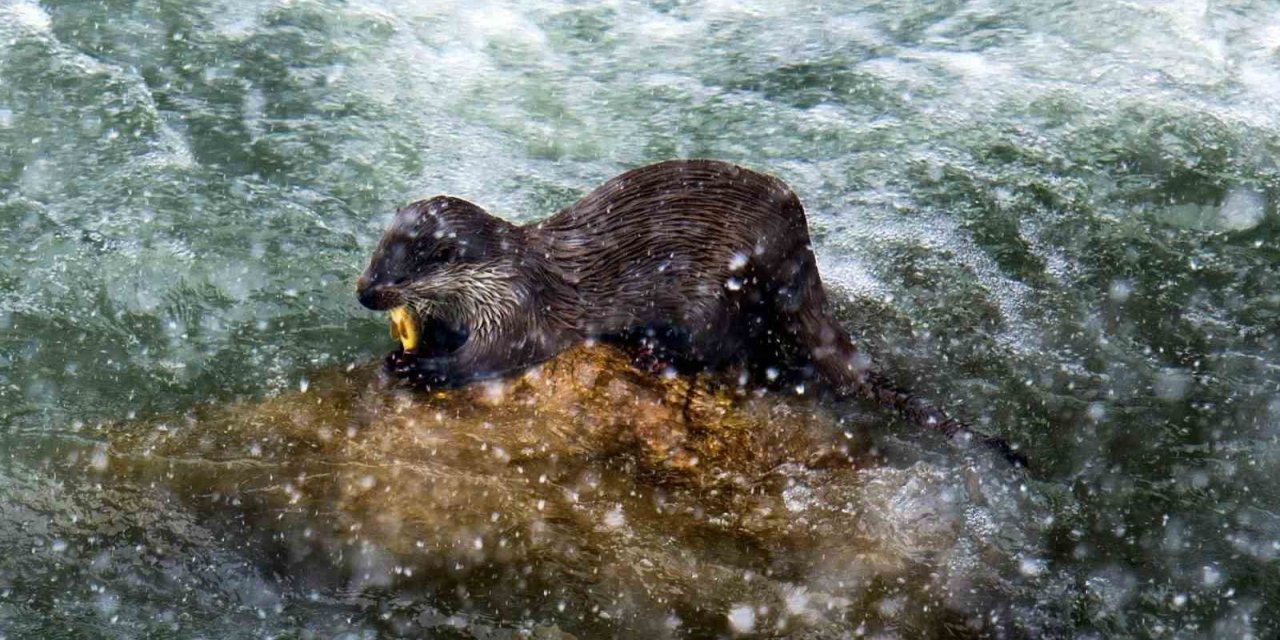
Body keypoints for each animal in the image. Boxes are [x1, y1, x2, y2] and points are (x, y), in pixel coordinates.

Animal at [355, 157, 1024, 463]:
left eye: (400, 270)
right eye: (374, 254)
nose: (363, 292)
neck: (501, 274)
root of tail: (796, 234)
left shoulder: (519, 309)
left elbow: (492, 357)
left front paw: (419, 367)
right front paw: (409, 346)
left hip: (719, 291)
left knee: (729, 349)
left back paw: (655, 351)